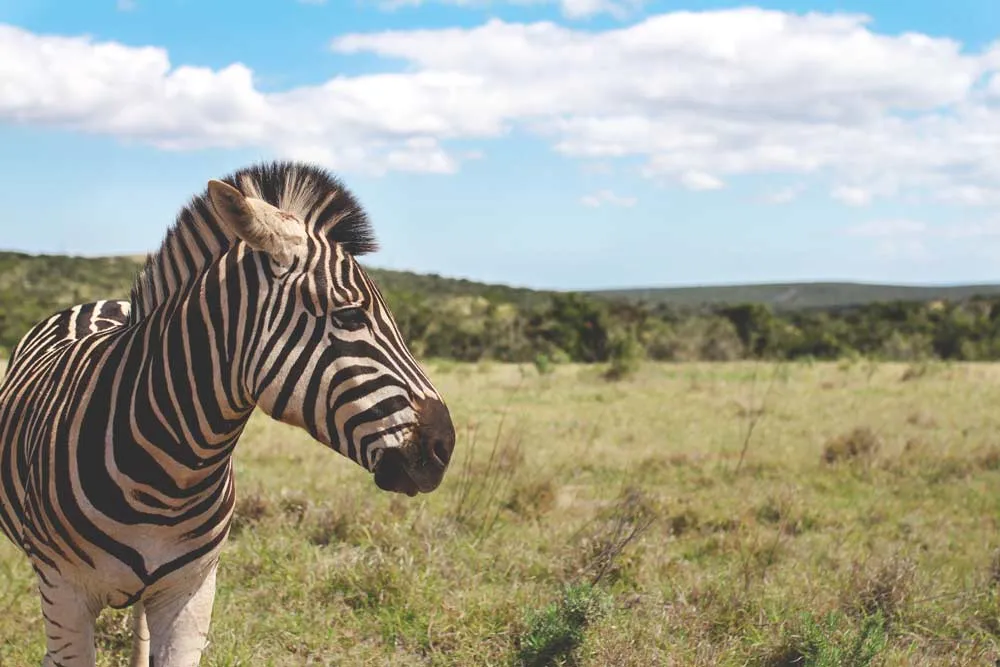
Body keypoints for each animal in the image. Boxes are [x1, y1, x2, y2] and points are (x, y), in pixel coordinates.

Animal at [0, 161, 457, 667]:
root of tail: (100, 304)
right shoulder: (65, 594)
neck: (167, 478)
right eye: (351, 316)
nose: (445, 446)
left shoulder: (191, 590)